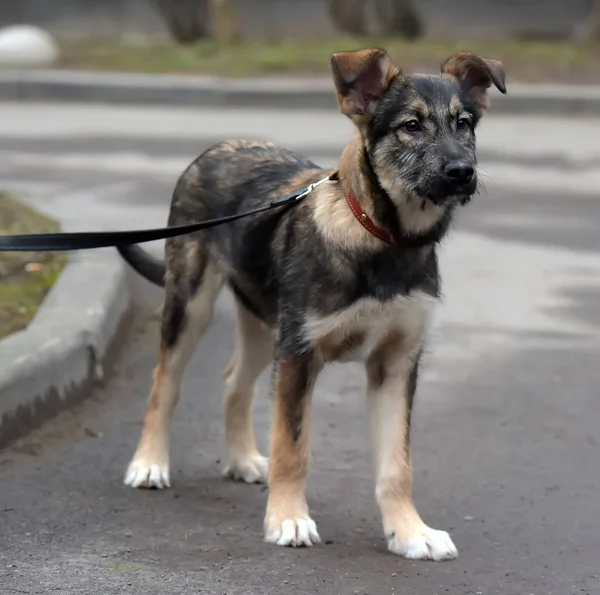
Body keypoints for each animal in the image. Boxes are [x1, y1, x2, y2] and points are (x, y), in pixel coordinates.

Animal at [116, 49, 506, 560]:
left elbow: (396, 465)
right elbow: (292, 448)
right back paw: (149, 463)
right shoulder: (300, 356)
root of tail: (219, 146)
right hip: (193, 304)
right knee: (165, 381)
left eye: (464, 123)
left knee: (233, 383)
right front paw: (288, 519)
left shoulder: (396, 363)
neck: (383, 239)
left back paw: (242, 460)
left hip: (266, 328)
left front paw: (409, 532)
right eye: (411, 126)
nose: (462, 172)